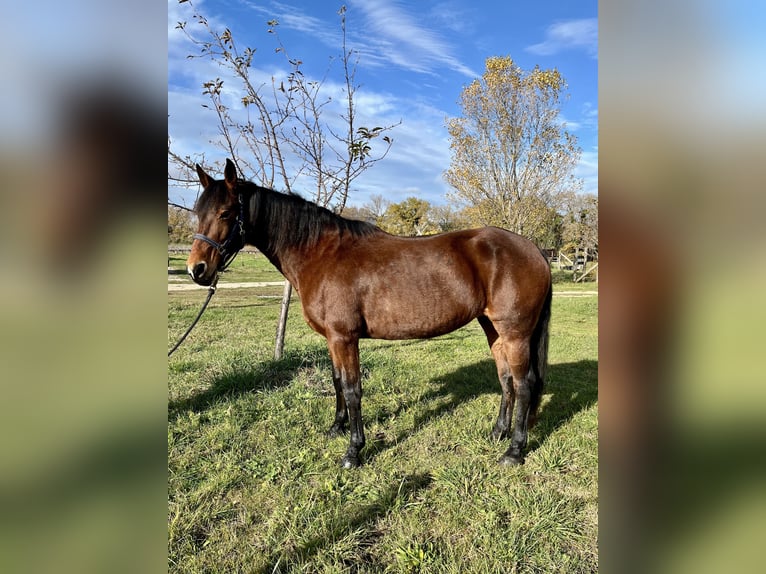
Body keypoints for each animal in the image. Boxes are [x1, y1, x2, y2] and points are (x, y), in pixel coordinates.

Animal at [187, 159, 552, 469]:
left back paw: (514, 451)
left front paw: (353, 451)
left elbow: (352, 389)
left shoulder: (344, 338)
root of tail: (534, 250)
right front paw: (336, 428)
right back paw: (498, 432)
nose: (197, 270)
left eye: (225, 213)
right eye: (196, 213)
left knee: (524, 384)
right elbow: (336, 381)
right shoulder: (333, 339)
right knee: (505, 379)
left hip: (516, 334)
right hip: (493, 328)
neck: (320, 253)